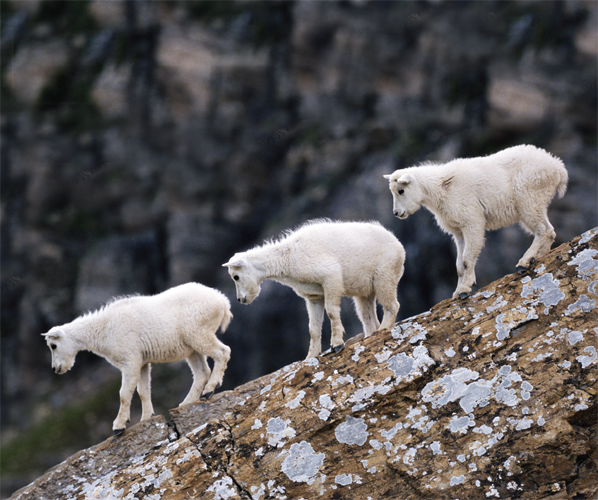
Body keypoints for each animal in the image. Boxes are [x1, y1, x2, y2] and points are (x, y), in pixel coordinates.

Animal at [42, 282, 233, 434]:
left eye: (53, 345)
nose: (56, 368)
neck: (104, 330)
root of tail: (222, 301)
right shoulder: (142, 362)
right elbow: (143, 391)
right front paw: (146, 418)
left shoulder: (130, 361)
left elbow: (124, 393)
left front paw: (119, 426)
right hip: (191, 347)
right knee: (201, 372)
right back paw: (186, 403)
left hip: (198, 333)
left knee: (223, 352)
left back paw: (209, 389)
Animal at [225, 221, 408, 358]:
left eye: (236, 276)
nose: (241, 299)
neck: (288, 258)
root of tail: (398, 245)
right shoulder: (313, 295)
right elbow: (313, 327)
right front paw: (311, 356)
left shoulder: (331, 277)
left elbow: (332, 311)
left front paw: (337, 344)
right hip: (364, 290)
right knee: (368, 317)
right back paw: (372, 334)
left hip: (385, 272)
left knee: (392, 305)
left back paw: (383, 329)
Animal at [386, 146, 568, 298]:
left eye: (401, 190)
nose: (397, 213)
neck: (442, 188)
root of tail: (558, 168)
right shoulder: (458, 231)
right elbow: (459, 264)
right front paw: (457, 292)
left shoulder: (472, 221)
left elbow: (467, 258)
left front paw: (465, 289)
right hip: (534, 203)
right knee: (549, 231)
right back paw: (536, 258)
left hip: (529, 198)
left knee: (543, 229)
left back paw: (523, 262)